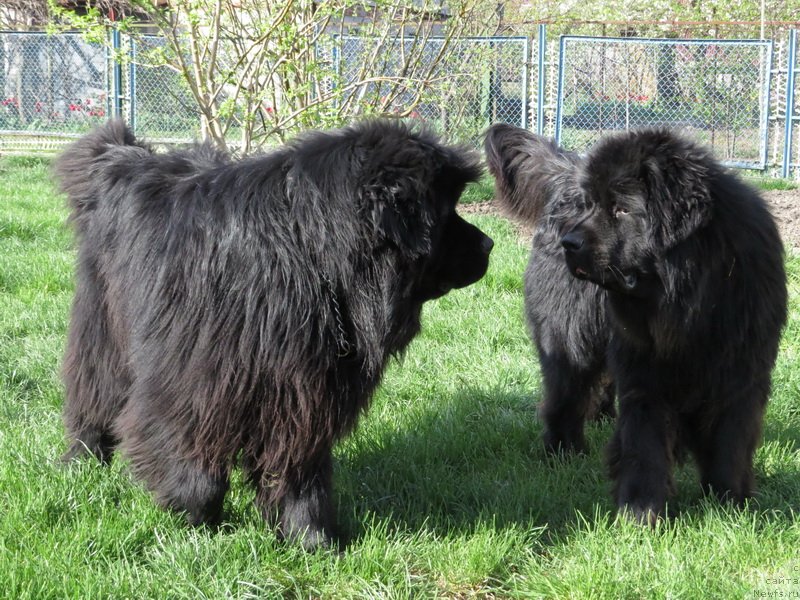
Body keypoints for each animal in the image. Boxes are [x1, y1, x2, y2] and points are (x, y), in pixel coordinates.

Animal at [56, 118, 494, 548]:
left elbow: (300, 470)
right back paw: (83, 462)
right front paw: (192, 520)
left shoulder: (303, 392)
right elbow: (192, 461)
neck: (308, 256)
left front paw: (313, 540)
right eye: (446, 211)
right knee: (93, 392)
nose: (489, 244)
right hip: (104, 325)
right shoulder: (193, 382)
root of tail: (126, 159)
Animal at [484, 124, 784, 524]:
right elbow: (644, 443)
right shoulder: (646, 374)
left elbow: (730, 443)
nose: (569, 243)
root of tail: (567, 177)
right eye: (591, 205)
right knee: (564, 394)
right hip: (570, 337)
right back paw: (564, 451)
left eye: (622, 209)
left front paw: (729, 504)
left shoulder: (741, 373)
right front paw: (640, 513)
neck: (690, 303)